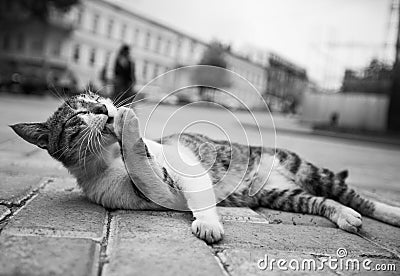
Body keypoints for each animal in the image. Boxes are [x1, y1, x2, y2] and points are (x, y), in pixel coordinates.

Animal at [9, 92, 400, 244]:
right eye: (80, 112)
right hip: (282, 194)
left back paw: (389, 213)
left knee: (355, 196)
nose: (107, 108)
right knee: (323, 201)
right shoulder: (151, 189)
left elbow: (193, 188)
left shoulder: (184, 165)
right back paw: (345, 217)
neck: (107, 159)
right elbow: (144, 168)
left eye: (99, 98)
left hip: (306, 169)